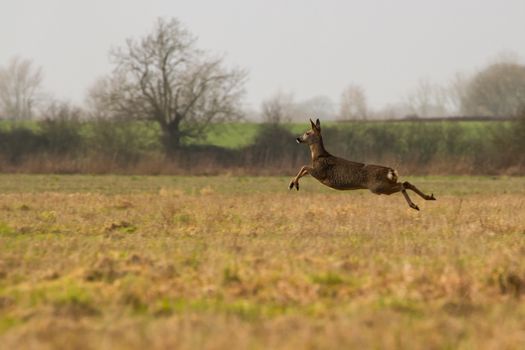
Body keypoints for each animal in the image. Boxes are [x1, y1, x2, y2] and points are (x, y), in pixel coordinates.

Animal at [288, 117, 436, 211]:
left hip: (378, 187)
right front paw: (293, 183)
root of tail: (390, 171)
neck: (319, 156)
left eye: (307, 132)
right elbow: (304, 170)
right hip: (383, 185)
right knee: (406, 183)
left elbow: (304, 166)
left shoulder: (321, 172)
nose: (298, 138)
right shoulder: (317, 171)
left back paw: (414, 205)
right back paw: (429, 197)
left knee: (401, 185)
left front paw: (294, 184)